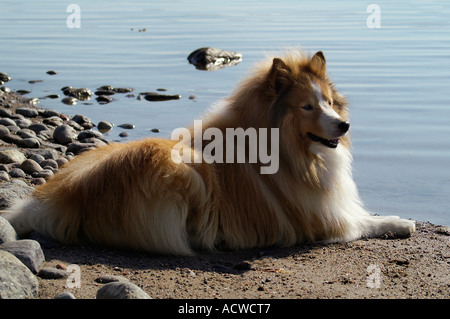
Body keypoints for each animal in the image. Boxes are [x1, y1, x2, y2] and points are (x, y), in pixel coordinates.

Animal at [5, 49, 416, 255]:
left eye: (329, 102)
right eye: (307, 107)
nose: (344, 126)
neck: (290, 150)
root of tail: (53, 200)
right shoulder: (323, 218)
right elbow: (362, 221)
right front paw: (400, 222)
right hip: (185, 170)